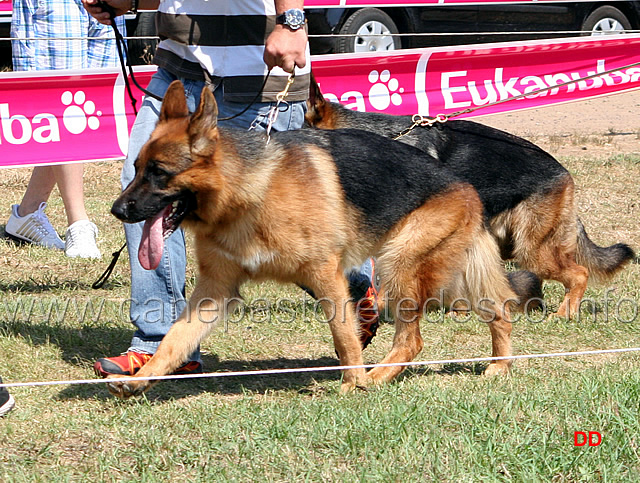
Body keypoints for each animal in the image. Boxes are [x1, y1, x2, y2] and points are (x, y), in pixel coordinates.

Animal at [106, 79, 524, 398]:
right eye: (136, 168)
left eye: (159, 173)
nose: (117, 210)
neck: (248, 192)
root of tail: (465, 187)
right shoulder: (214, 292)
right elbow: (173, 340)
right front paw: (143, 378)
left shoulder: (326, 276)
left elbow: (343, 336)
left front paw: (353, 384)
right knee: (500, 311)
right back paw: (500, 364)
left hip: (399, 264)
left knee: (412, 340)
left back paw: (375, 378)